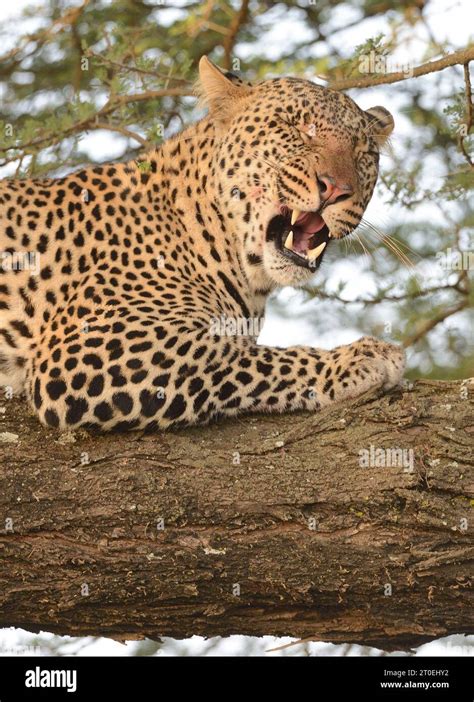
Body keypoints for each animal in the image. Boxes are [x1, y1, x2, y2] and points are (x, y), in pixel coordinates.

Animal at [0, 57, 406, 434]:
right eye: (296, 127)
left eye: (364, 154)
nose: (336, 189)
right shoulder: (86, 349)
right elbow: (242, 355)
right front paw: (358, 357)